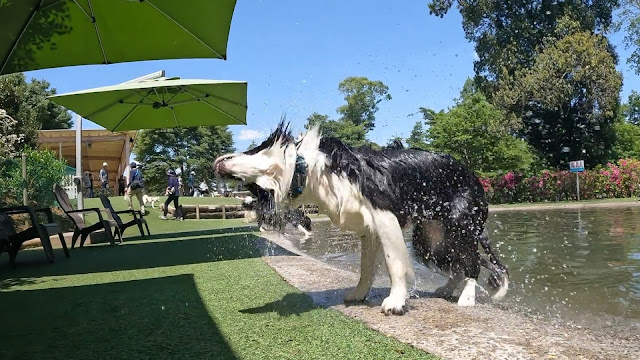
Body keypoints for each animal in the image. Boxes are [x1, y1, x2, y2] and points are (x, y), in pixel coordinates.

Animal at [215, 123, 510, 316]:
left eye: (252, 149)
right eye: (254, 189)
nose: (215, 162)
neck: (308, 169)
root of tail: (473, 176)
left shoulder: (384, 216)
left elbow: (394, 263)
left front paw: (396, 302)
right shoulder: (370, 229)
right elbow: (366, 267)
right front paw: (358, 295)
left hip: (460, 227)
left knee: (472, 262)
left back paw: (467, 297)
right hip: (430, 239)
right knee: (458, 263)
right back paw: (447, 288)